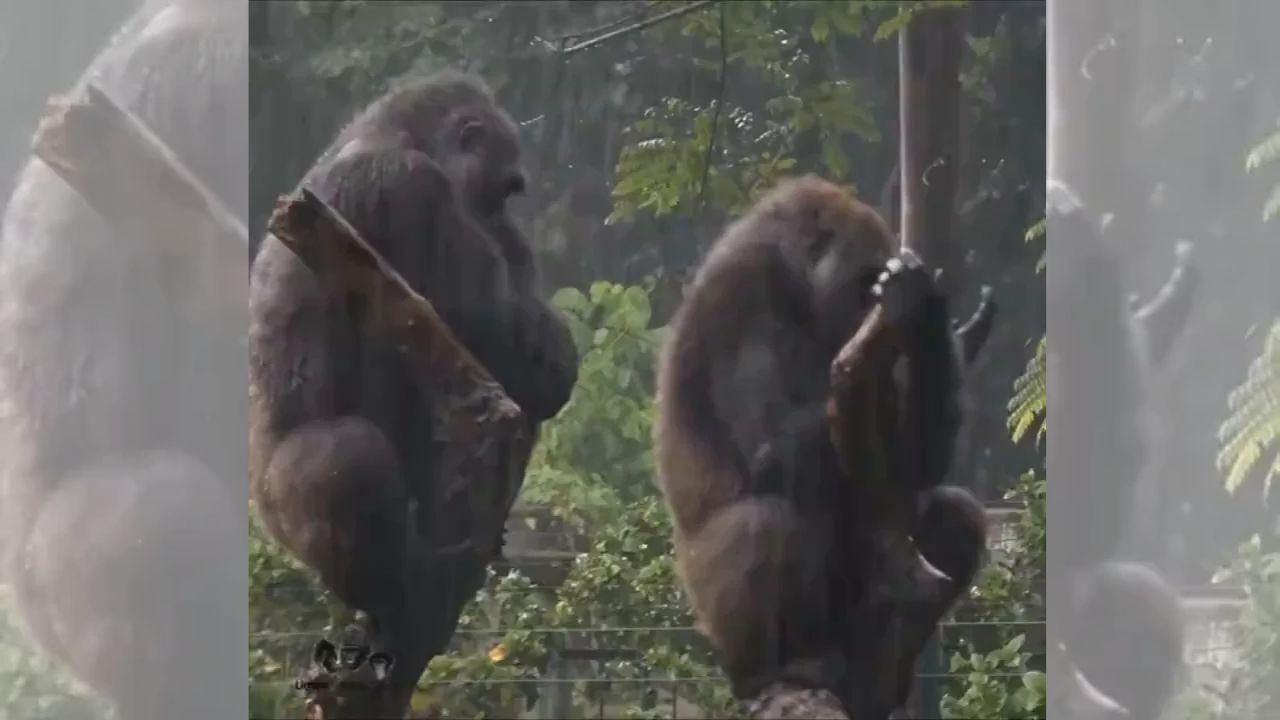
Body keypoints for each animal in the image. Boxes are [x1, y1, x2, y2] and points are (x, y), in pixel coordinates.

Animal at [248, 70, 580, 714]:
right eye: (503, 189)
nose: (508, 222)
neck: (389, 130)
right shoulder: (407, 186)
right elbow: (505, 340)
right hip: (278, 505)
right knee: (344, 456)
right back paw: (394, 584)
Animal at [654, 176, 990, 716]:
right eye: (863, 283)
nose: (872, 314)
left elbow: (918, 467)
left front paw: (930, 323)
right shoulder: (740, 293)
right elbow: (769, 451)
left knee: (951, 516)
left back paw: (877, 679)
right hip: (705, 602)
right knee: (766, 523)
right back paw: (768, 669)